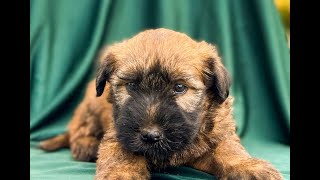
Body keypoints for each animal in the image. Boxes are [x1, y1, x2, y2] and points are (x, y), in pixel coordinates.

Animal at [40, 27, 282, 179]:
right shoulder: (119, 133)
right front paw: (120, 174)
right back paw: (86, 145)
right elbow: (121, 154)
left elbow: (230, 150)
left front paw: (248, 166)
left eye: (179, 87)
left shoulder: (217, 136)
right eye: (131, 85)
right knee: (79, 130)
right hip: (90, 106)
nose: (150, 135)